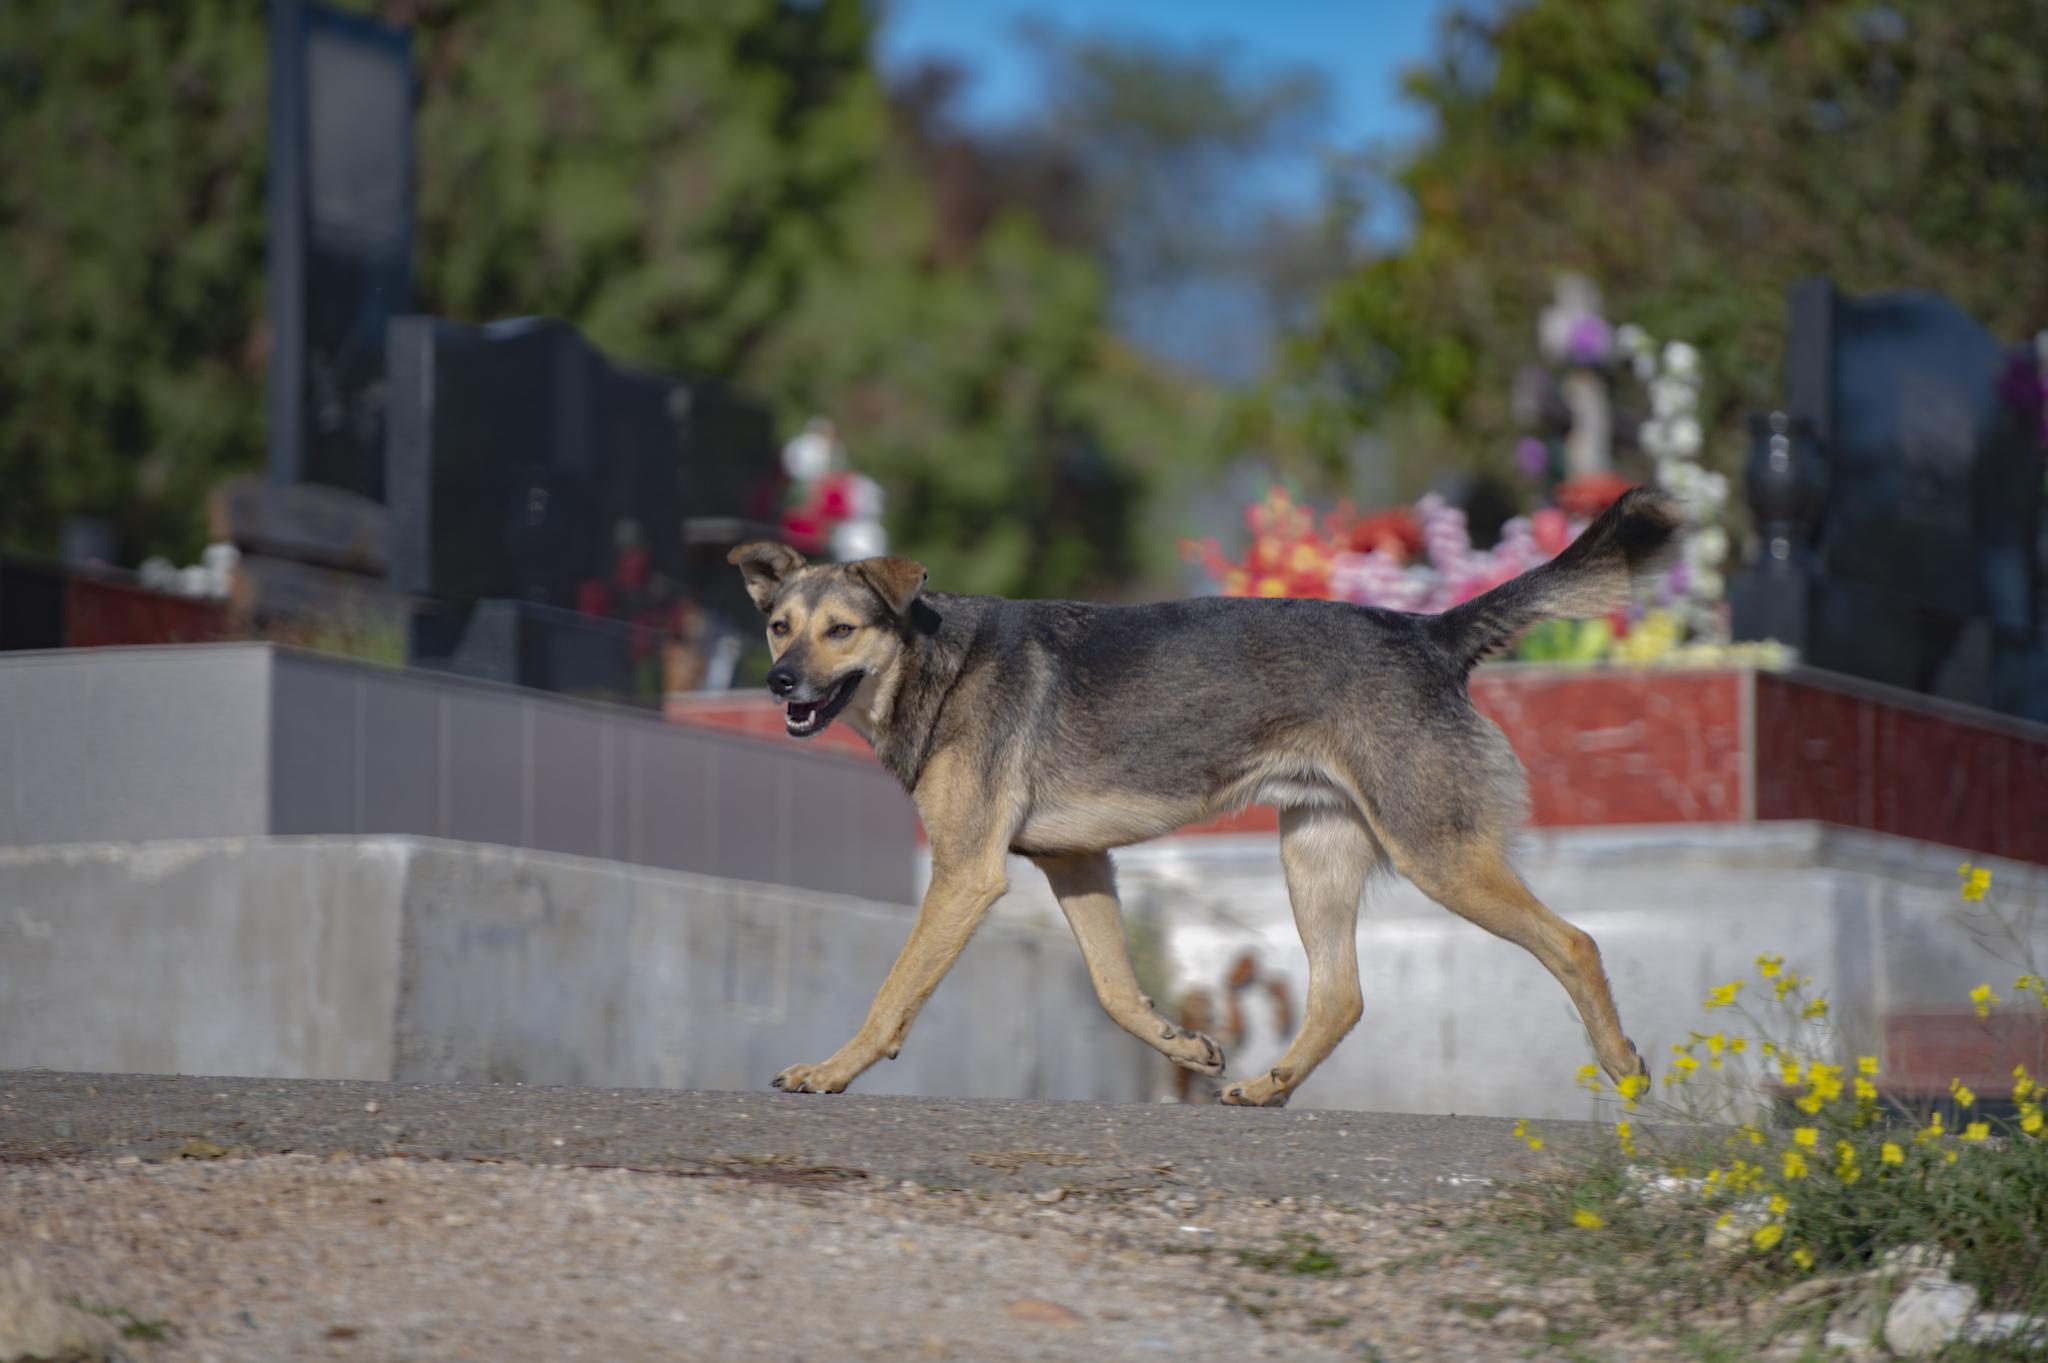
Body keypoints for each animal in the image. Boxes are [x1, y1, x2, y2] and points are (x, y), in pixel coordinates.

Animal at [724, 482, 1679, 1096]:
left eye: (840, 631)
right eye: (778, 625)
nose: (776, 681)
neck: (933, 660)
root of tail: (1433, 633)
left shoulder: (966, 873)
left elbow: (893, 992)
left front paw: (830, 1071)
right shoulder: (1075, 863)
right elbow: (1115, 989)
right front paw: (1181, 1043)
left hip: (1437, 852)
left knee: (1575, 942)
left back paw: (1624, 1069)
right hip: (1316, 856)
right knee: (1341, 994)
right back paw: (1270, 1087)